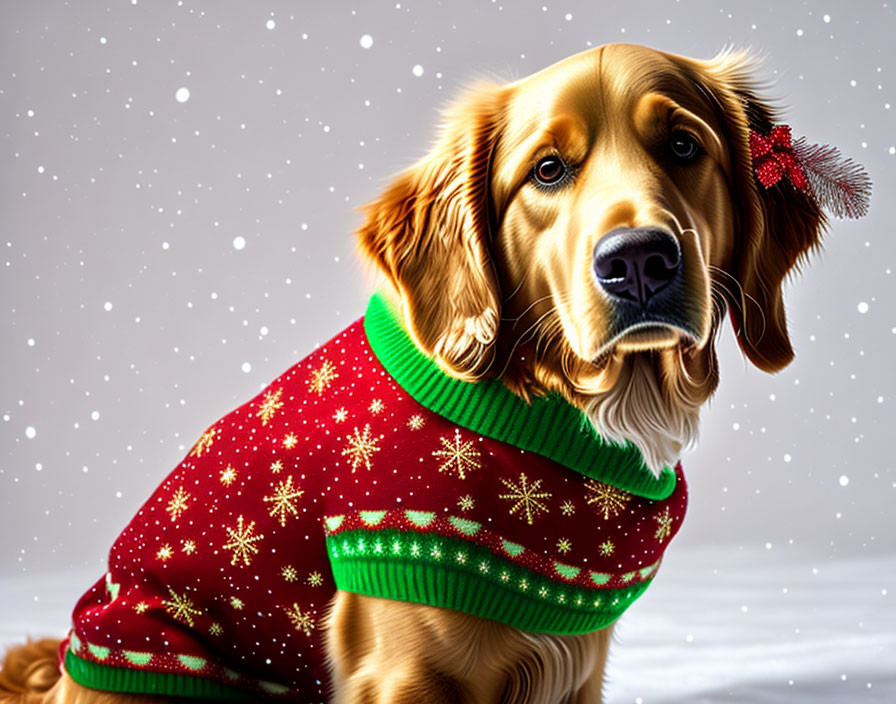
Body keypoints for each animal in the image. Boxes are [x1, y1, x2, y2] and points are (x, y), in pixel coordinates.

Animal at [0, 44, 868, 704]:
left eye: (684, 147)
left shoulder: (577, 662)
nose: (639, 263)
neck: (562, 406)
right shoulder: (405, 666)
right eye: (548, 171)